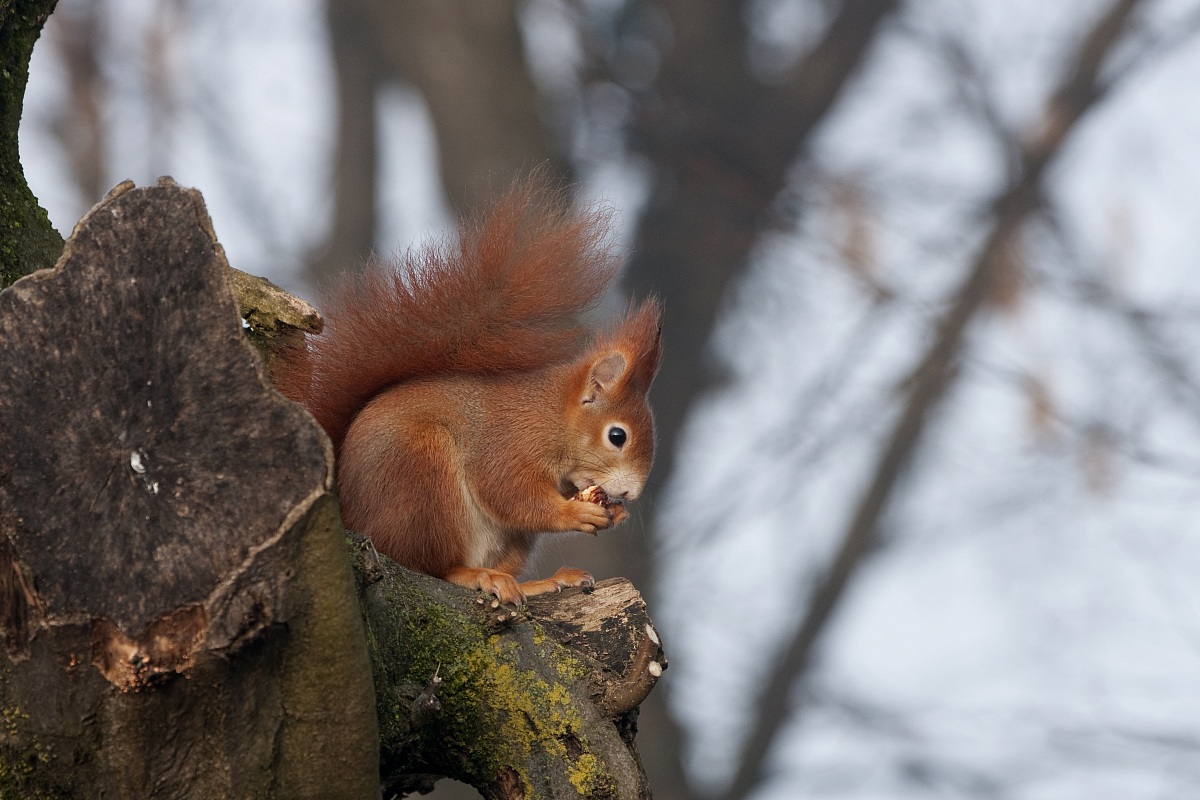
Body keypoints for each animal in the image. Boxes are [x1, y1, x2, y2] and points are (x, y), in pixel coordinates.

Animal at [273, 179, 662, 605]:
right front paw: (575, 514)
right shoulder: (508, 443)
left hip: (508, 539)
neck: (552, 417)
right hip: (422, 475)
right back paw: (475, 575)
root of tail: (352, 518)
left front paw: (616, 514)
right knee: (429, 565)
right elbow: (509, 494)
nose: (631, 493)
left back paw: (534, 582)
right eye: (617, 436)